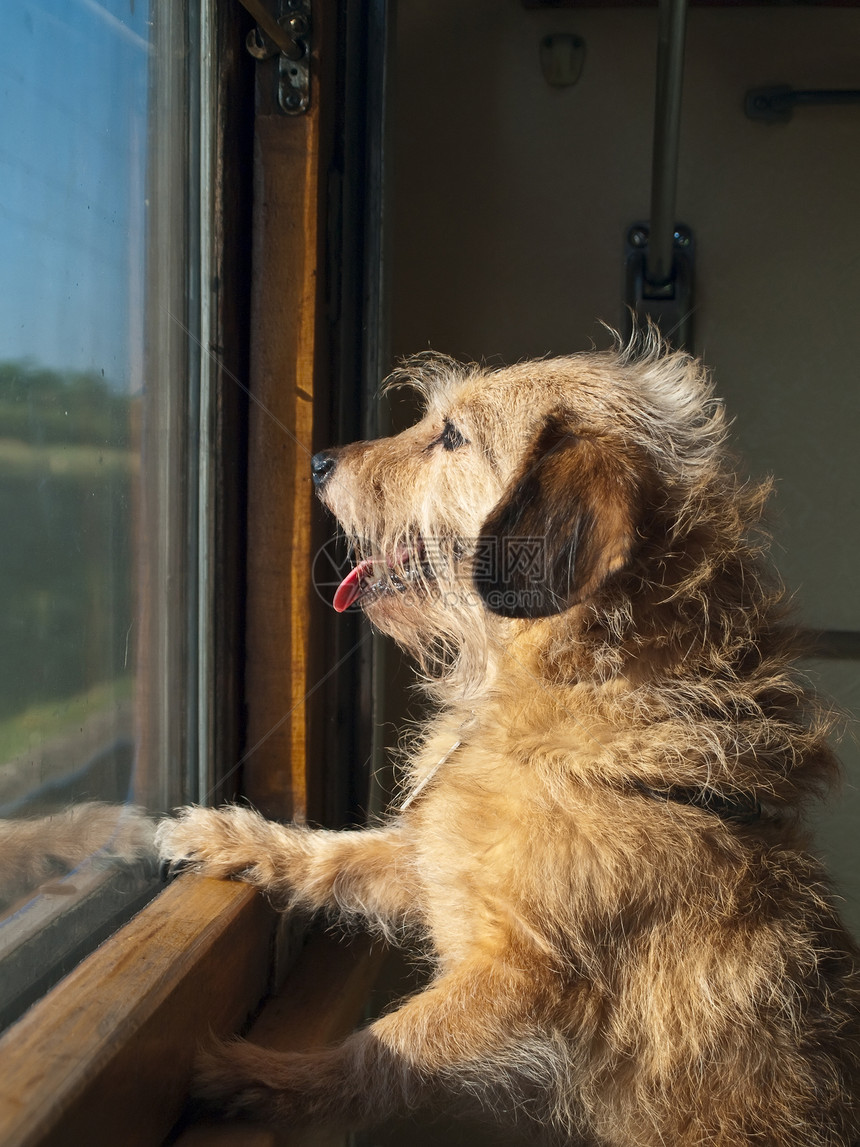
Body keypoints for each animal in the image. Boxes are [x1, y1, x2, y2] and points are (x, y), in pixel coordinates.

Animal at [157, 334, 860, 1142]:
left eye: (453, 437)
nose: (320, 461)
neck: (563, 693)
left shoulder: (523, 979)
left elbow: (389, 1048)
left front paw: (263, 1078)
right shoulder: (437, 867)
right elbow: (335, 857)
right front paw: (226, 837)